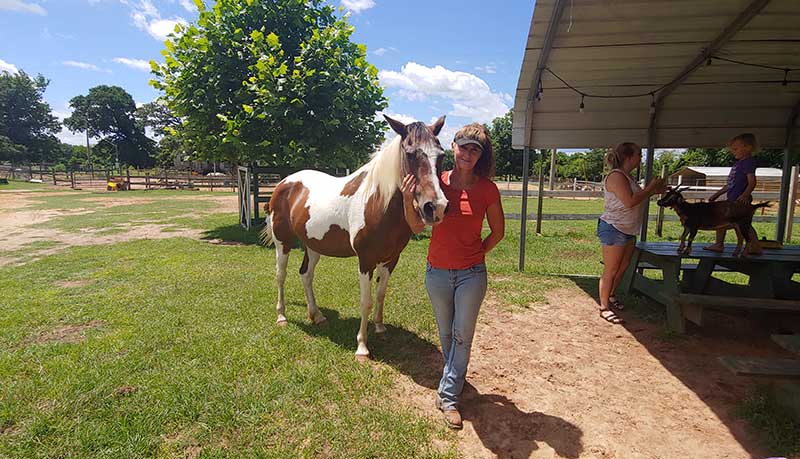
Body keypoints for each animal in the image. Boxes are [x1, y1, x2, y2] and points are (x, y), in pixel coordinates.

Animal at [262, 115, 450, 360]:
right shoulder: (365, 261)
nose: (435, 207)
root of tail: (284, 183)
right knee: (281, 276)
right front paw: (362, 347)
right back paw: (282, 316)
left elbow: (380, 294)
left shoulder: (391, 260)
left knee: (306, 275)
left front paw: (380, 327)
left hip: (313, 246)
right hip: (282, 242)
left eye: (441, 155)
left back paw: (317, 315)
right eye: (409, 153)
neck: (377, 202)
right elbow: (366, 301)